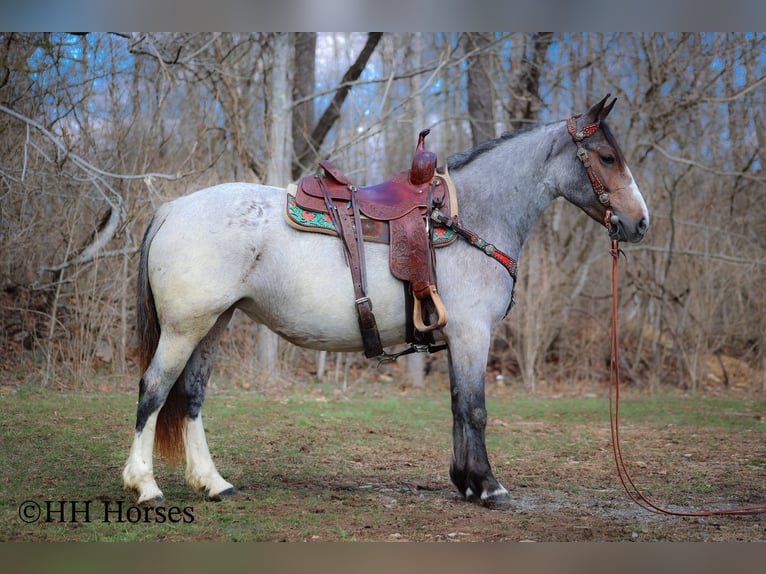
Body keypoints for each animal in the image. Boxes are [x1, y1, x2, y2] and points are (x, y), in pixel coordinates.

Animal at [122, 95, 649, 508]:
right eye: (606, 156)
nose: (640, 222)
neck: (469, 217)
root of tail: (173, 208)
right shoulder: (472, 332)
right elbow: (475, 408)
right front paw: (488, 487)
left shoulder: (458, 337)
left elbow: (457, 406)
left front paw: (465, 483)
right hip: (185, 328)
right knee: (154, 389)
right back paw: (145, 485)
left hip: (214, 324)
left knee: (191, 395)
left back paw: (213, 483)